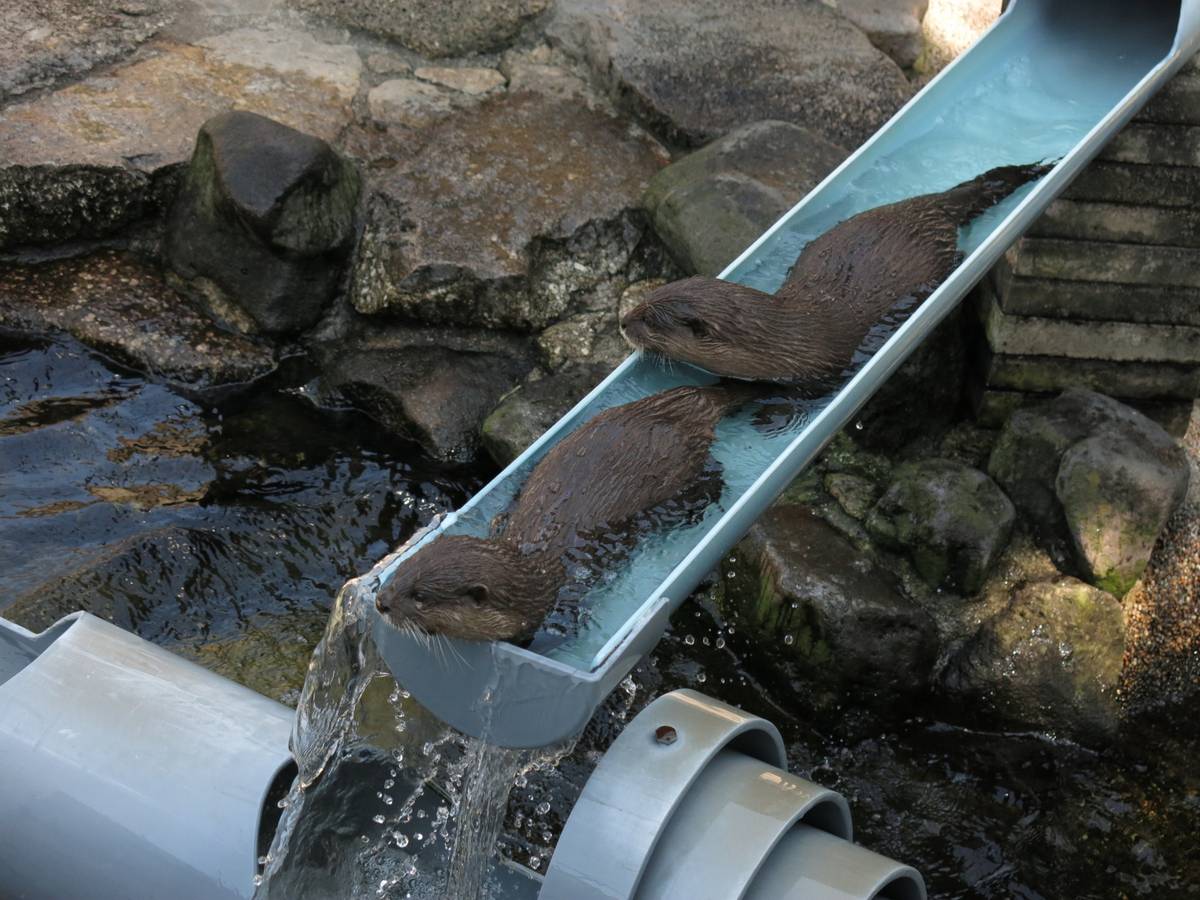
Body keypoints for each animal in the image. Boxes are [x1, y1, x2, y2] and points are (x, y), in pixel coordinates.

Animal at [374, 383, 759, 642]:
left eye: (420, 597)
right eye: (402, 571)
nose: (381, 602)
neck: (536, 572)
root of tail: (687, 403)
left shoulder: (561, 610)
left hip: (683, 467)